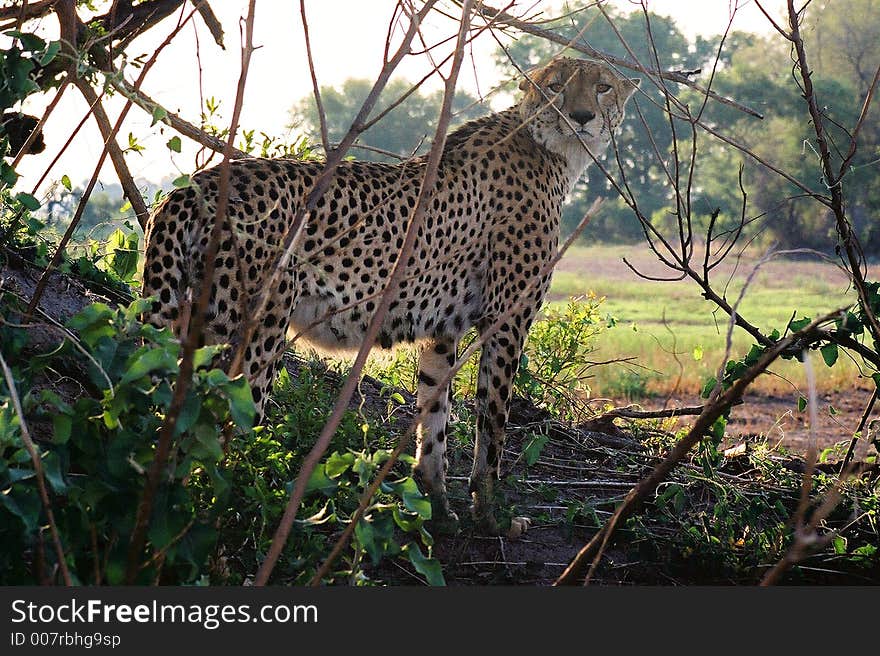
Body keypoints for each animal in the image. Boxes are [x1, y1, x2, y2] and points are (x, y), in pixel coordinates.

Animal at [143, 57, 640, 532]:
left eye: (602, 87)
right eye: (556, 86)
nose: (581, 116)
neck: (548, 148)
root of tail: (194, 185)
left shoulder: (444, 330)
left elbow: (434, 418)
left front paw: (438, 509)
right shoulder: (505, 322)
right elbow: (492, 422)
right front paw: (491, 515)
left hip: (192, 323)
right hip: (252, 333)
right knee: (220, 431)